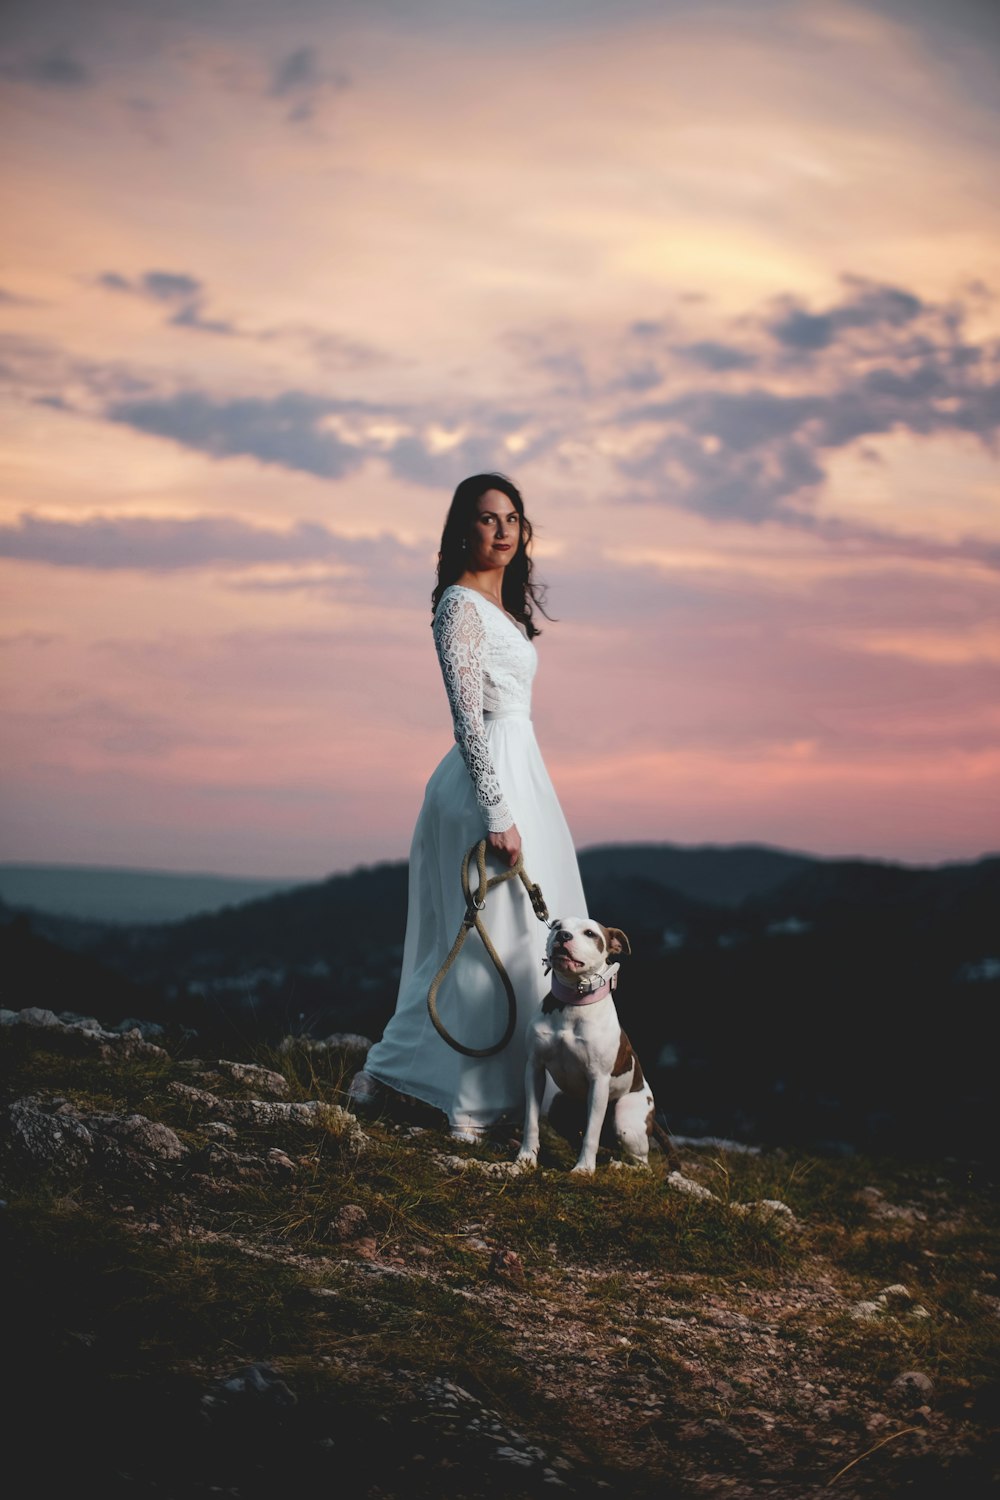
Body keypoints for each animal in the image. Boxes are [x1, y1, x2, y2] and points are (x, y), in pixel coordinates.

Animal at [515, 912, 671, 1170]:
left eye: (590, 933)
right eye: (557, 926)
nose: (563, 935)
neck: (573, 1002)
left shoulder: (598, 1081)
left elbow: (592, 1133)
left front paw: (584, 1169)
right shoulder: (535, 1068)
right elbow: (531, 1120)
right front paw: (526, 1157)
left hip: (625, 1119)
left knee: (643, 1164)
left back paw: (618, 1166)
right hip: (558, 1103)